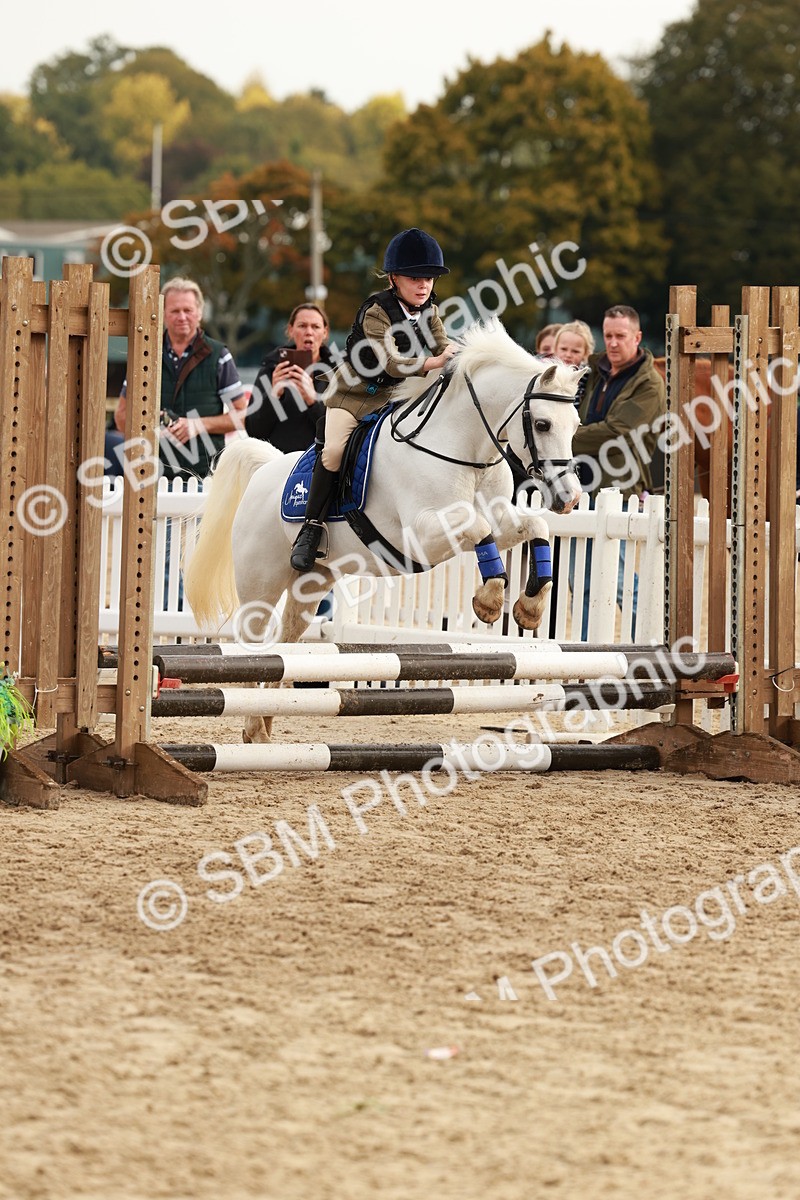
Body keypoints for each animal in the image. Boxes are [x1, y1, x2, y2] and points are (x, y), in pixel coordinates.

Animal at [184, 319, 584, 743]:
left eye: (575, 425)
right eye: (542, 424)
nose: (570, 498)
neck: (463, 449)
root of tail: (265, 469)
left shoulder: (500, 519)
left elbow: (532, 525)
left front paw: (529, 608)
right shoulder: (423, 531)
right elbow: (478, 529)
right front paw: (489, 601)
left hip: (311, 582)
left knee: (284, 646)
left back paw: (266, 721)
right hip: (260, 582)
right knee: (253, 644)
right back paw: (253, 728)